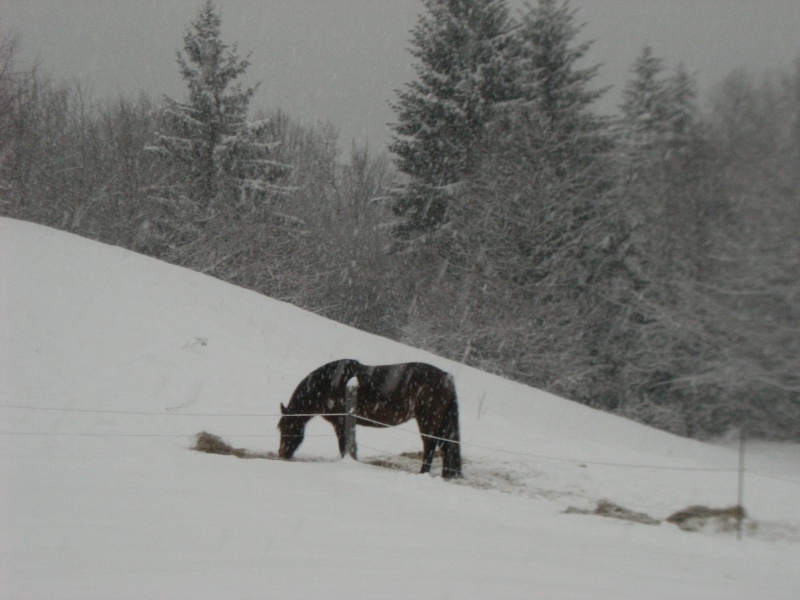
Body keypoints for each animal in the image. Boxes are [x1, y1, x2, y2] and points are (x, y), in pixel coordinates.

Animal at [278, 358, 462, 480]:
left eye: (287, 427)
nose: (282, 454)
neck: (326, 384)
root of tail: (446, 378)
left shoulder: (341, 422)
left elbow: (344, 445)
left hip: (427, 422)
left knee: (430, 446)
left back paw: (423, 473)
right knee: (446, 447)